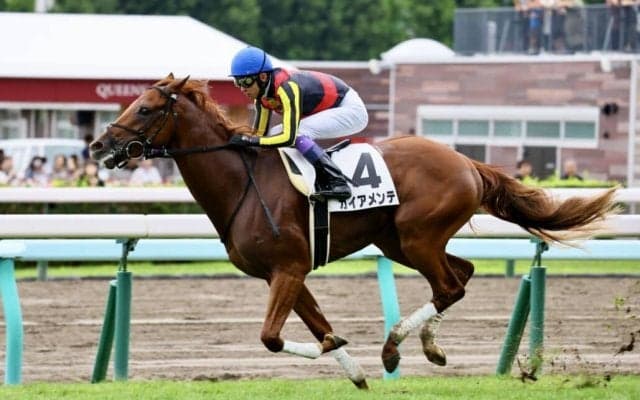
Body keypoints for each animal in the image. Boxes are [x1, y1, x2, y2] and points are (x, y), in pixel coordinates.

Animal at [90, 74, 617, 388]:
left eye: (145, 108)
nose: (98, 145)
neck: (244, 183)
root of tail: (467, 161)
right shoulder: (284, 273)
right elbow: (318, 329)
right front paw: (354, 369)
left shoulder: (289, 267)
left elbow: (272, 338)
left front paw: (348, 354)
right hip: (397, 240)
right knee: (460, 276)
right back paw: (427, 347)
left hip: (417, 236)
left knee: (449, 285)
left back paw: (394, 346)